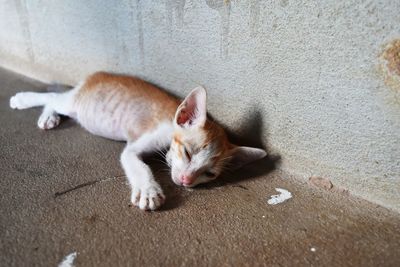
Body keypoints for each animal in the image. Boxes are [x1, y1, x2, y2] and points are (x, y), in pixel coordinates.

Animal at [9, 73, 266, 211]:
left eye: (209, 174)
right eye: (187, 152)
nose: (186, 180)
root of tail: (94, 75)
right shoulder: (137, 145)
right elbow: (139, 165)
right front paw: (148, 190)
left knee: (54, 100)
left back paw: (48, 116)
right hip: (75, 101)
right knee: (53, 97)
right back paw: (24, 100)